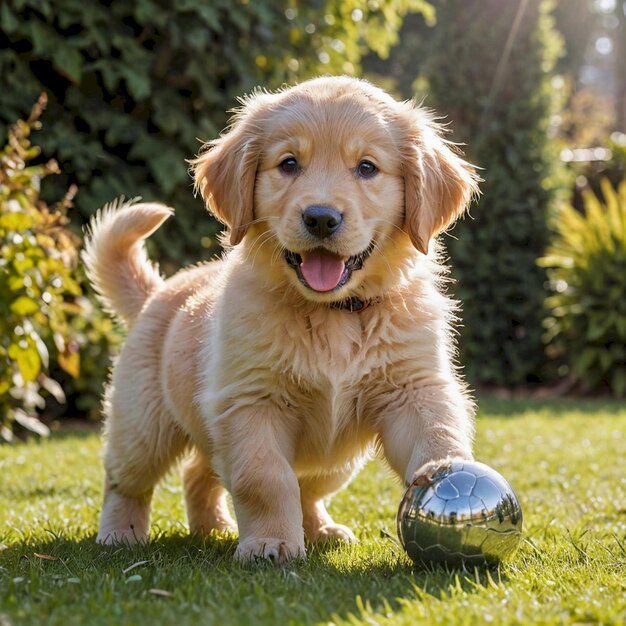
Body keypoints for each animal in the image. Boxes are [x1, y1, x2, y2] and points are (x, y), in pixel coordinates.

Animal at [84, 74, 478, 560]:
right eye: (289, 164)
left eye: (367, 168)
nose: (321, 218)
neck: (332, 313)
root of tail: (157, 293)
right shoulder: (250, 402)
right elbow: (264, 479)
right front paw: (271, 542)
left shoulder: (413, 388)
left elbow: (436, 430)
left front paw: (449, 471)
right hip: (143, 423)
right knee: (127, 479)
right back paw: (121, 532)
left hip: (332, 460)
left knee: (252, 480)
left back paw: (254, 528)